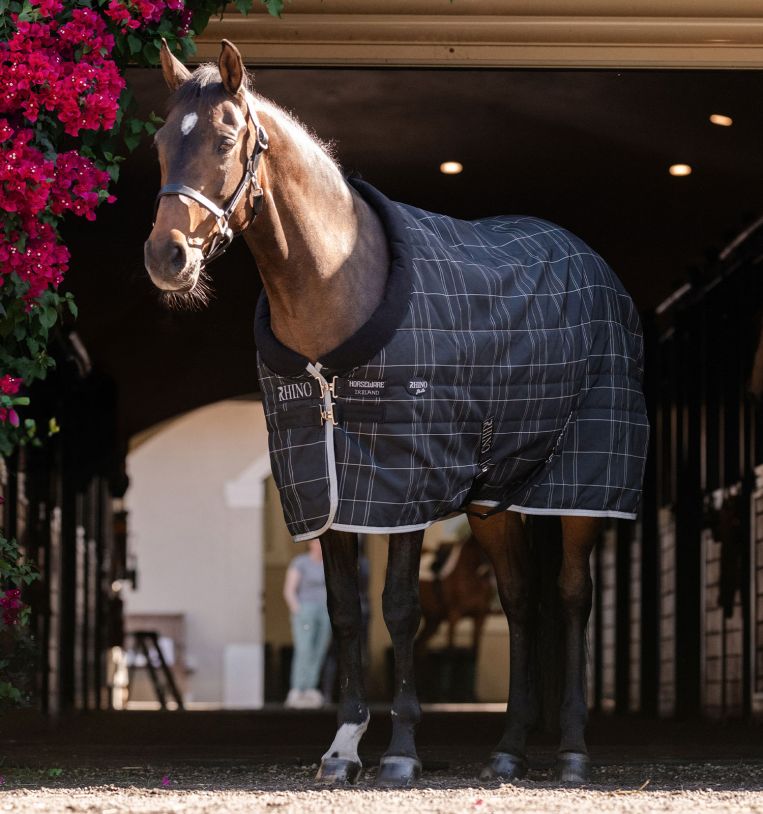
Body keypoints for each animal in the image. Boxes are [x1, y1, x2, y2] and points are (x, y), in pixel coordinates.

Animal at [144, 40, 649, 787]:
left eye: (225, 138)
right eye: (158, 144)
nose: (166, 256)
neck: (338, 288)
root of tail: (592, 265)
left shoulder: (403, 483)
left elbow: (400, 609)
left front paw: (402, 750)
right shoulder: (325, 488)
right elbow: (347, 612)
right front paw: (344, 746)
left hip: (581, 486)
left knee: (569, 596)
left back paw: (573, 752)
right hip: (494, 501)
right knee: (520, 601)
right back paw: (506, 750)